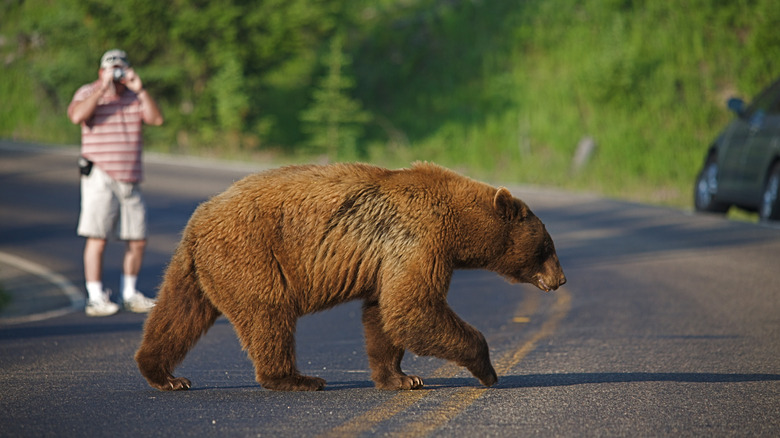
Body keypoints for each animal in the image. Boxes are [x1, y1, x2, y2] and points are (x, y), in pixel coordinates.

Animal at [135, 162, 566, 391]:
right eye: (547, 246)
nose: (561, 279)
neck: (459, 227)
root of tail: (197, 221)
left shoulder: (388, 258)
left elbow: (384, 314)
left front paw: (401, 377)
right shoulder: (419, 239)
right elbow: (414, 307)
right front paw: (487, 370)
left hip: (198, 268)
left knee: (178, 314)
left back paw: (164, 374)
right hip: (251, 255)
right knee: (268, 314)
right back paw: (296, 378)